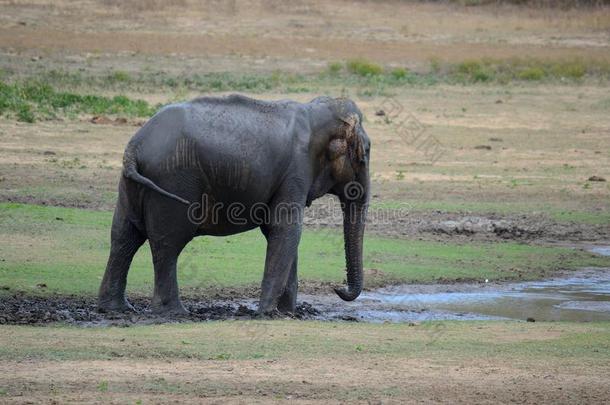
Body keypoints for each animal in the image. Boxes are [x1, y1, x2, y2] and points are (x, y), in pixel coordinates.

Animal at [97, 94, 370, 316]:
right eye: (364, 154)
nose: (337, 288)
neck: (314, 113)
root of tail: (134, 147)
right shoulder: (296, 171)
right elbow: (286, 230)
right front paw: (267, 313)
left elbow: (280, 233)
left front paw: (288, 313)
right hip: (172, 181)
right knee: (167, 244)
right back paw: (174, 312)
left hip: (131, 187)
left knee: (124, 237)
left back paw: (116, 309)